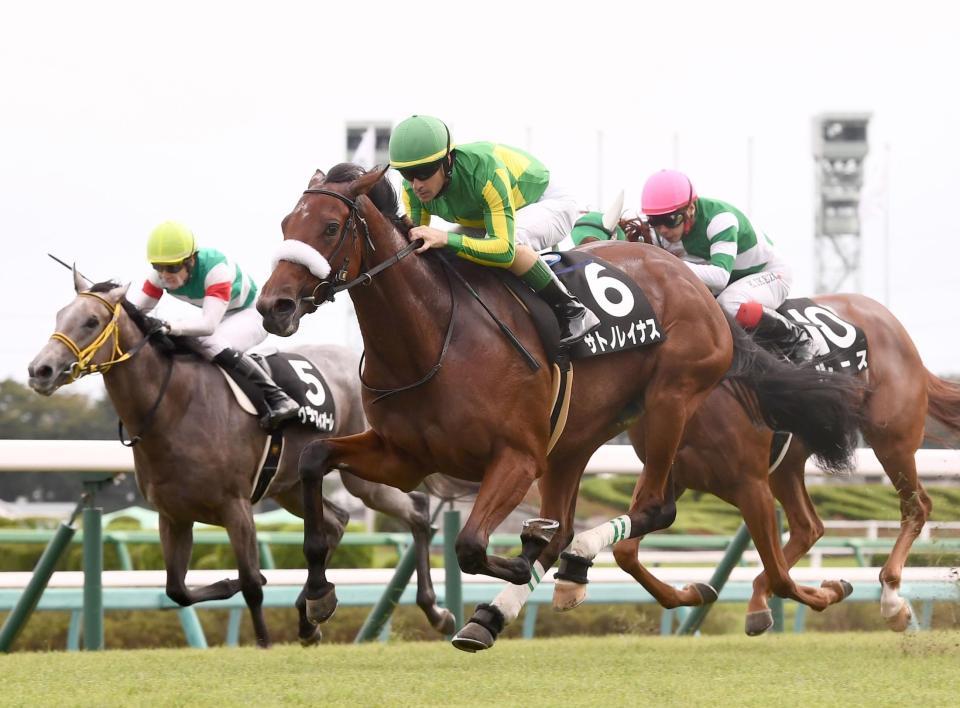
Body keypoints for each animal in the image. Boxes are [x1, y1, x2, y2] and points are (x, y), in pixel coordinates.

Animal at [26, 272, 454, 648]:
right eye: (60, 315)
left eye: (91, 321)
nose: (39, 370)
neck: (174, 407)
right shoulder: (173, 515)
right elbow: (177, 589)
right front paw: (229, 586)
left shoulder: (236, 506)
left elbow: (250, 582)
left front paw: (263, 639)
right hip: (291, 486)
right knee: (337, 522)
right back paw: (310, 617)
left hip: (362, 475)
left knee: (416, 511)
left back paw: (436, 611)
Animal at [258, 162, 868, 648]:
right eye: (286, 226)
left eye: (330, 227)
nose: (273, 306)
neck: (433, 337)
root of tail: (693, 283)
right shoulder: (403, 456)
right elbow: (312, 460)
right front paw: (318, 596)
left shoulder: (517, 456)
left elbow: (474, 546)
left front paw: (518, 564)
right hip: (578, 439)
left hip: (671, 402)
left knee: (656, 511)